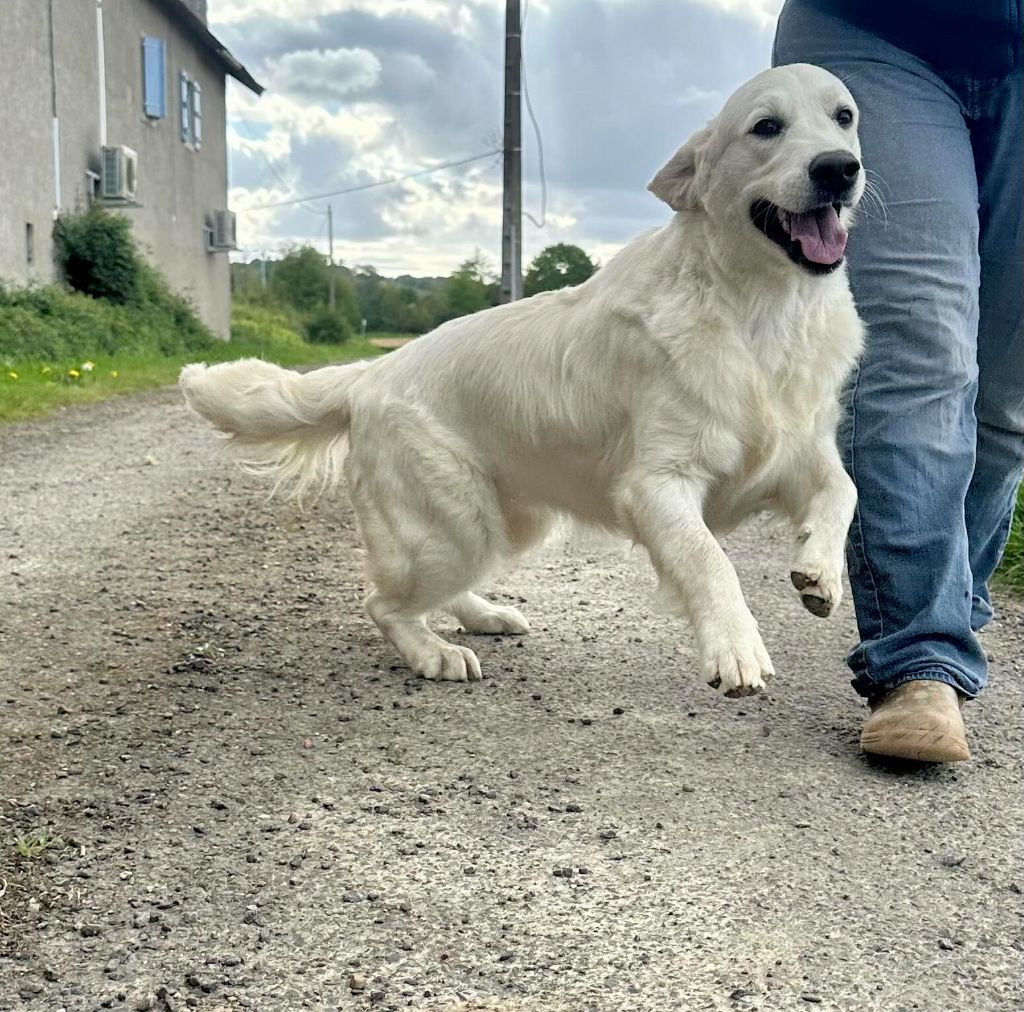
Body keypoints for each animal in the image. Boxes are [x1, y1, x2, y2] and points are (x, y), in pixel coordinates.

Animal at [184, 63, 864, 696]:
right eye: (766, 127)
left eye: (844, 117)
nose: (840, 169)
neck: (763, 310)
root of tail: (372, 371)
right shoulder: (658, 483)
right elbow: (709, 559)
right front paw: (736, 649)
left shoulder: (799, 452)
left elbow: (844, 490)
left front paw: (819, 570)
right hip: (455, 528)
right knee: (383, 602)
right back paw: (436, 654)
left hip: (505, 524)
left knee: (433, 592)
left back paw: (485, 616)